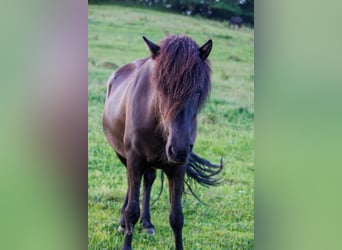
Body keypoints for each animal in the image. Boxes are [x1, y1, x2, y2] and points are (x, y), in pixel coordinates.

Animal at [103, 34, 223, 250]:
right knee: (131, 187)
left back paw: (147, 223)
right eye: (161, 89)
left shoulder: (177, 168)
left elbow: (177, 217)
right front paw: (126, 234)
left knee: (148, 180)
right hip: (124, 156)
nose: (179, 150)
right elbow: (132, 210)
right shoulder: (135, 160)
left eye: (198, 91)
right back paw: (123, 223)